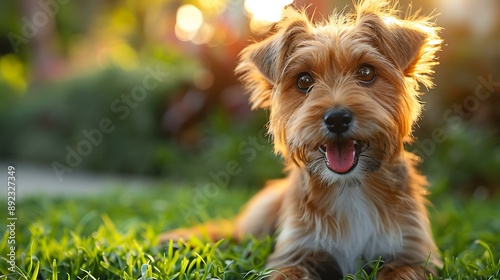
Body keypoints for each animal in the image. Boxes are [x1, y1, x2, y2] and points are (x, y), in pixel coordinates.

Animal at [160, 1, 442, 278]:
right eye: (304, 80)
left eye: (366, 72)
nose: (337, 119)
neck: (349, 188)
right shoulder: (295, 254)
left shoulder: (412, 256)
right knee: (232, 232)